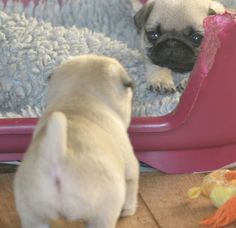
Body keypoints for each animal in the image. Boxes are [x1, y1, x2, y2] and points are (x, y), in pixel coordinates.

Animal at [13, 54, 139, 227]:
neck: (80, 94)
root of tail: (57, 157)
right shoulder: (130, 164)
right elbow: (132, 185)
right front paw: (129, 210)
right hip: (105, 209)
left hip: (33, 213)